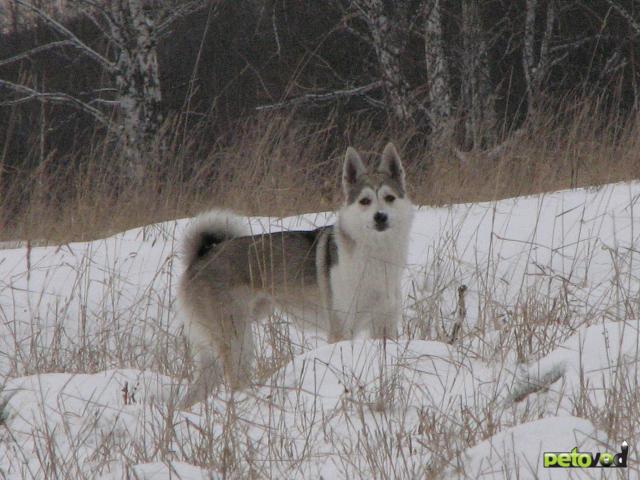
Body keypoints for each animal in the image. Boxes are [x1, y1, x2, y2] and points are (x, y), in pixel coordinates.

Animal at [178, 143, 416, 404]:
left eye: (389, 198)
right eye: (365, 201)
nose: (380, 216)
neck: (376, 255)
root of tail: (201, 255)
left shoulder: (385, 326)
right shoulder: (342, 327)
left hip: (221, 346)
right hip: (237, 339)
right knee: (235, 382)